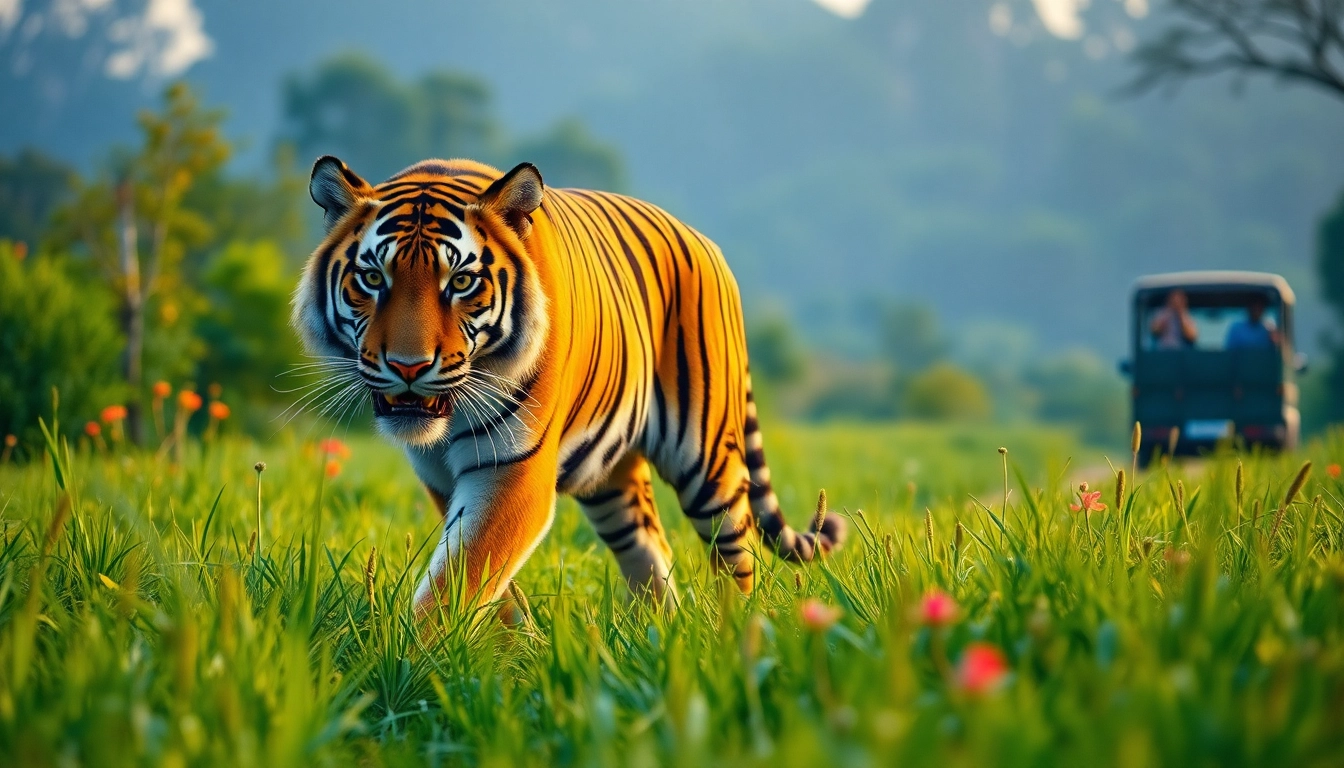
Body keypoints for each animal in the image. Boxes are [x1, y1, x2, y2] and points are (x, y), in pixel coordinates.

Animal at [292, 156, 845, 616]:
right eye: (372, 279)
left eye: (462, 283)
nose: (408, 367)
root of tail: (705, 242)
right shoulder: (440, 478)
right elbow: (483, 581)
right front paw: (499, 648)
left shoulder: (512, 470)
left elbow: (460, 578)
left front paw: (420, 657)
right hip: (612, 477)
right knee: (650, 549)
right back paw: (658, 635)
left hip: (708, 461)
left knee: (736, 553)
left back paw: (734, 636)